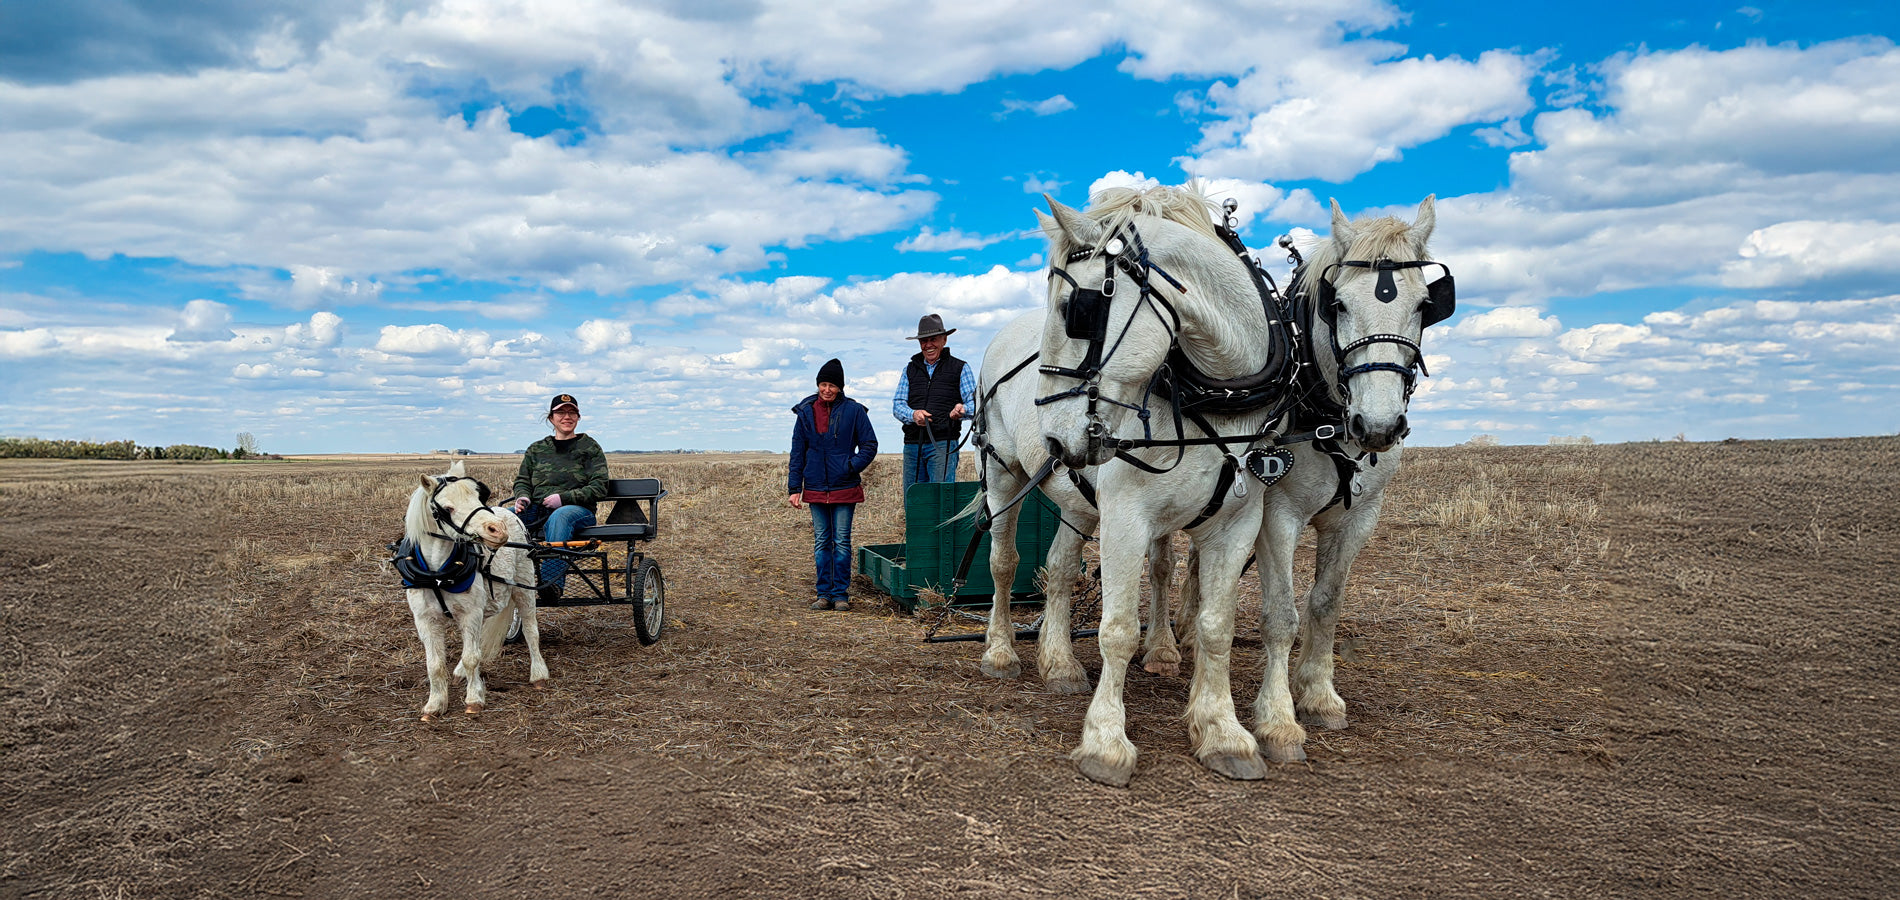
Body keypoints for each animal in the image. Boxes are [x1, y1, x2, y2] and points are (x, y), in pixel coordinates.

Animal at [399, 461, 551, 721]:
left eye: (478, 496)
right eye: (447, 508)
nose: (497, 530)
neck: (438, 574)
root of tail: (511, 513)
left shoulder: (470, 613)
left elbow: (472, 657)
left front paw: (474, 700)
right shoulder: (426, 619)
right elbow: (435, 664)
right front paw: (435, 704)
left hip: (524, 589)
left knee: (531, 630)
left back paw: (539, 674)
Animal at [1033, 184, 1299, 786]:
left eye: (1075, 310)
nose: (1053, 440)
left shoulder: (1237, 523)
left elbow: (1217, 625)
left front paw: (1223, 732)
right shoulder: (1125, 518)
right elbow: (1116, 629)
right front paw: (1106, 742)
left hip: (1077, 510)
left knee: (1059, 571)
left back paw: (1059, 664)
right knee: (1001, 562)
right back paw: (1000, 653)